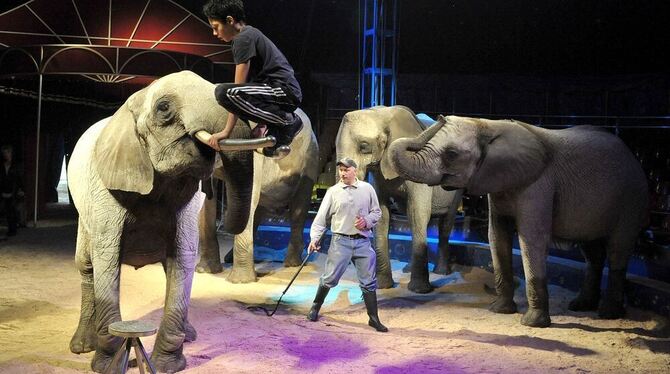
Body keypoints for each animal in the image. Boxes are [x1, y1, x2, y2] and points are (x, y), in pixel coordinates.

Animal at [65, 70, 260, 372]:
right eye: (164, 108)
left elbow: (183, 257)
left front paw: (168, 365)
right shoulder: (104, 192)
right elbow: (106, 259)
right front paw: (108, 363)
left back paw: (189, 335)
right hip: (83, 211)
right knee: (86, 266)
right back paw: (81, 346)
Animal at [197, 109, 320, 282]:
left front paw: (240, 282)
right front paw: (204, 271)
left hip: (310, 160)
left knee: (299, 208)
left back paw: (292, 264)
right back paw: (231, 258)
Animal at [334, 105, 462, 292]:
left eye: (364, 146)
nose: (442, 117)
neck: (380, 113)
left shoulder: (417, 165)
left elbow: (417, 212)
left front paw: (419, 290)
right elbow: (381, 214)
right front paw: (383, 286)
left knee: (445, 224)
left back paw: (441, 272)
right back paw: (408, 270)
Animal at [388, 114, 652, 328]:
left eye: (451, 154)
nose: (442, 117)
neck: (490, 125)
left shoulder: (539, 184)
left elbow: (531, 239)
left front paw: (533, 324)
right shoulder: (499, 183)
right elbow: (497, 237)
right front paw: (499, 311)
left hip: (632, 200)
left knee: (617, 250)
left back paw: (608, 314)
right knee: (593, 253)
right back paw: (581, 306)